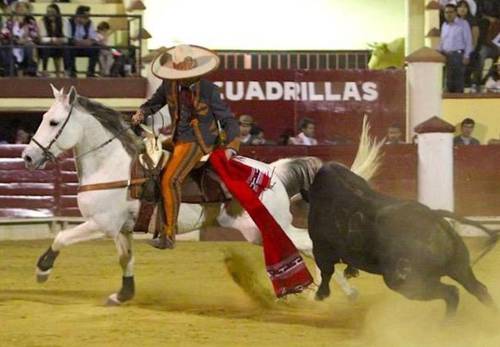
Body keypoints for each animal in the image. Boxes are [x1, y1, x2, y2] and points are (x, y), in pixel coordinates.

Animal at [21, 85, 380, 306]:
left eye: (53, 121)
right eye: (42, 118)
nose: (27, 157)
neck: (112, 166)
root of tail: (274, 172)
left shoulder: (101, 224)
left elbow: (61, 237)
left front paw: (42, 270)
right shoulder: (121, 230)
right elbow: (126, 258)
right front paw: (123, 294)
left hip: (264, 229)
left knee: (308, 244)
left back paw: (337, 290)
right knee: (306, 246)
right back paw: (331, 291)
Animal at [306, 163, 498, 318]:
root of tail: (434, 217)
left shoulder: (320, 247)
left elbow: (326, 271)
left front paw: (320, 294)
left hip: (405, 282)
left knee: (452, 293)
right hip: (459, 268)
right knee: (479, 290)